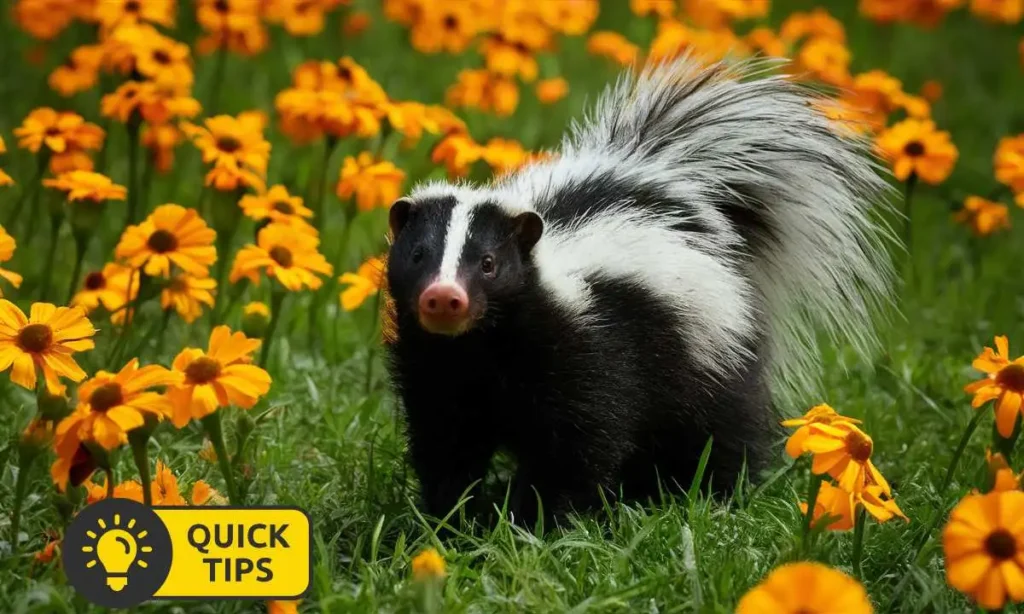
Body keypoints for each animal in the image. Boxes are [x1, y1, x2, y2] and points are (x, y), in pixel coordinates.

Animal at [380, 57, 892, 521]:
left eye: (489, 264)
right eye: (418, 255)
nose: (445, 297)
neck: (481, 348)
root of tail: (675, 183)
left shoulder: (590, 347)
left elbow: (575, 446)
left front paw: (540, 522)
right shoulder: (439, 370)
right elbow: (447, 444)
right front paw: (449, 519)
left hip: (710, 349)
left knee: (722, 430)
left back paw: (717, 499)